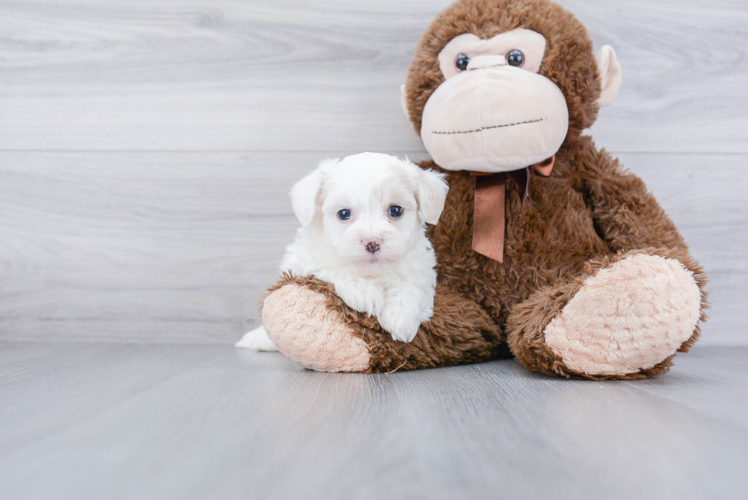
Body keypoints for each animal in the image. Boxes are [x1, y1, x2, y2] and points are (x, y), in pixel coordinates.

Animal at [237, 152, 448, 352]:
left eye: (395, 210)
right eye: (344, 213)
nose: (372, 243)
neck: (372, 273)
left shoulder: (421, 268)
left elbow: (411, 286)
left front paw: (401, 316)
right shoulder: (307, 262)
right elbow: (333, 268)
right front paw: (364, 291)